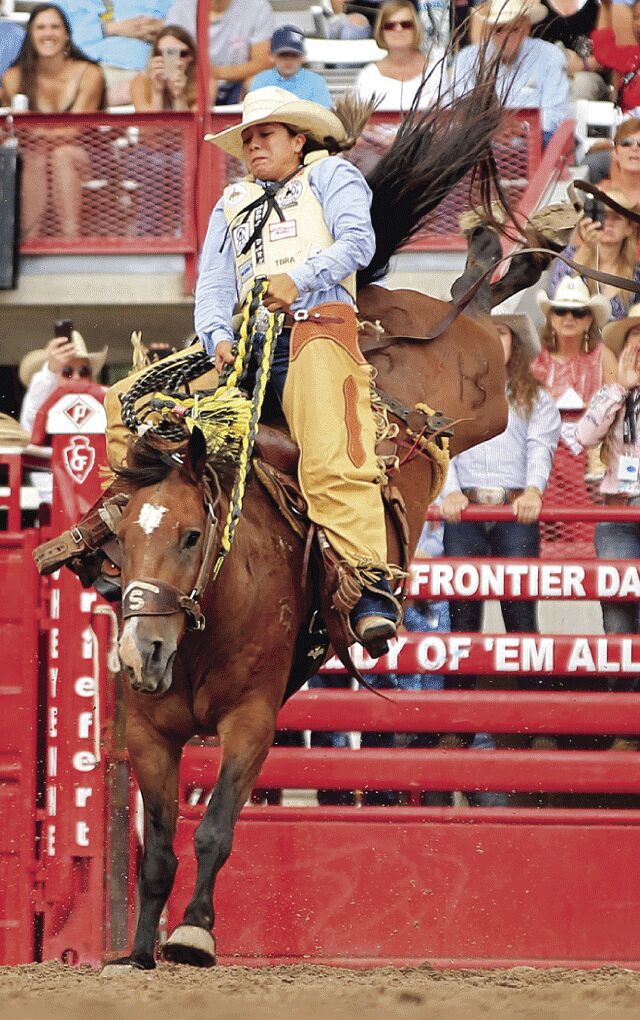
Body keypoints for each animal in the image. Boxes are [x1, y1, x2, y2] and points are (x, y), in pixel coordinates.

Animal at [108, 297, 510, 971]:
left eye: (191, 535)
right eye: (121, 535)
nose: (142, 653)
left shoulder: (251, 721)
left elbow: (214, 829)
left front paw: (192, 933)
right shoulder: (147, 734)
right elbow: (160, 851)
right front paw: (139, 951)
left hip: (479, 389)